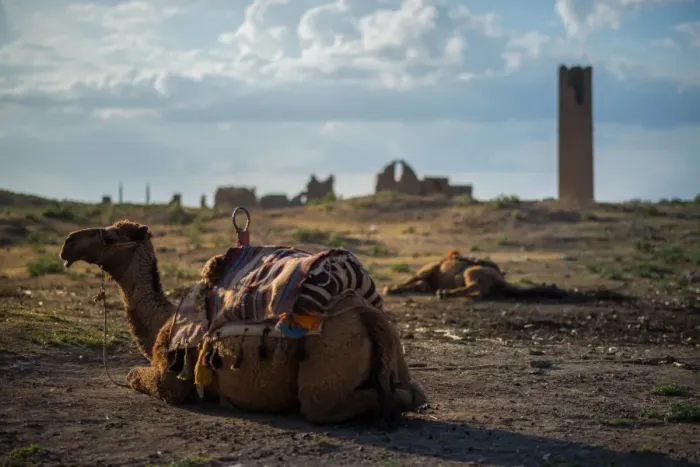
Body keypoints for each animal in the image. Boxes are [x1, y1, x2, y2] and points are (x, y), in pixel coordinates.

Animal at [58, 220, 426, 428]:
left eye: (110, 237)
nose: (69, 243)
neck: (165, 320)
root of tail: (368, 314)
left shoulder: (171, 379)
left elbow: (134, 376)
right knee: (412, 392)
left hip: (327, 363)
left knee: (332, 404)